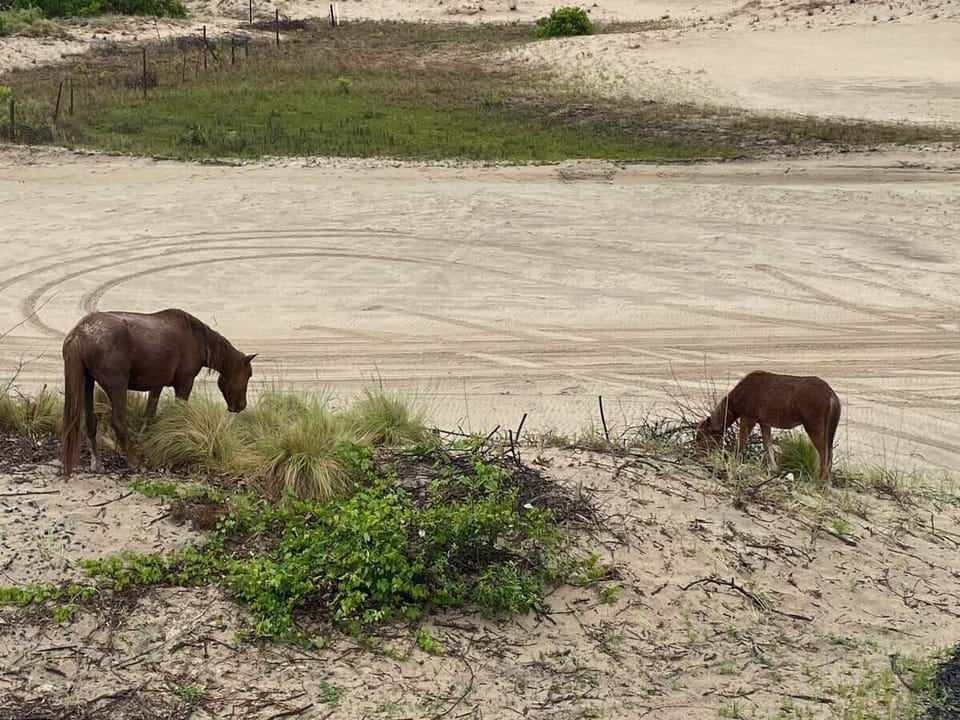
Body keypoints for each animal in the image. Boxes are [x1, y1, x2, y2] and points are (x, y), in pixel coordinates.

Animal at [60, 308, 256, 478]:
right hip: (116, 387)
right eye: (249, 374)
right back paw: (135, 463)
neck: (195, 338)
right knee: (118, 423)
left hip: (88, 383)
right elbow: (179, 414)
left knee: (91, 420)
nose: (241, 406)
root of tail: (80, 333)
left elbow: (149, 414)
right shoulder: (185, 384)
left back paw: (97, 462)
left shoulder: (157, 385)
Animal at [695, 370, 841, 483]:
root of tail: (832, 396)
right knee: (828, 453)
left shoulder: (748, 417)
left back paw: (822, 481)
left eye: (700, 436)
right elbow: (767, 445)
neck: (735, 401)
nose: (698, 453)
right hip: (828, 428)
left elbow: (741, 442)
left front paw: (731, 462)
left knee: (824, 453)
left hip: (813, 425)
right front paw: (773, 469)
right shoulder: (765, 422)